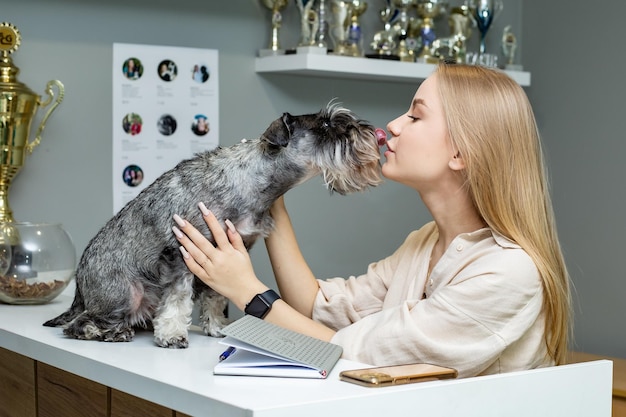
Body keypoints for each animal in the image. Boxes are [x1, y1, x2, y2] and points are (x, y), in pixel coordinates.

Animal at [42, 103, 380, 348]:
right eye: (325, 125)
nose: (371, 132)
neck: (252, 181)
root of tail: (79, 286)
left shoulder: (227, 251)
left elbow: (216, 297)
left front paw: (217, 327)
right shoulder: (180, 255)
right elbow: (178, 298)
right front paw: (172, 335)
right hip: (125, 295)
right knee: (79, 324)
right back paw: (111, 333)